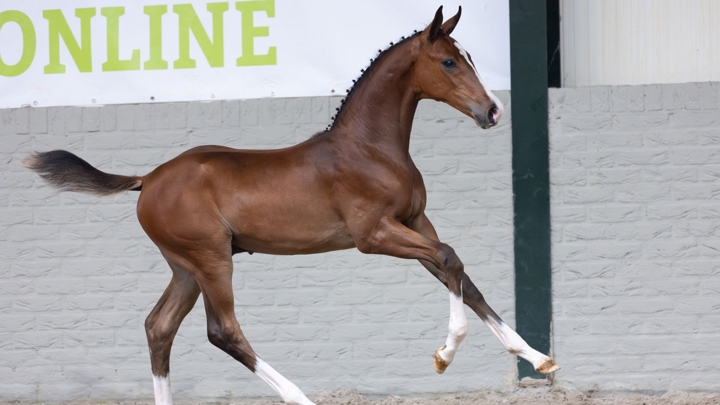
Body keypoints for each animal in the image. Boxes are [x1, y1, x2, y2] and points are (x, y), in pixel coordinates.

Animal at [26, 6, 556, 404]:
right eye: (448, 62)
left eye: (468, 56)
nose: (493, 111)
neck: (370, 147)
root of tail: (148, 179)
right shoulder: (373, 235)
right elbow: (450, 259)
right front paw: (445, 355)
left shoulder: (415, 222)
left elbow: (460, 273)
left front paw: (538, 358)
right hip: (210, 259)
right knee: (222, 330)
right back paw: (300, 396)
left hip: (185, 267)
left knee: (159, 327)